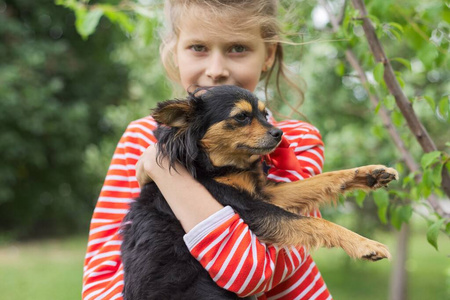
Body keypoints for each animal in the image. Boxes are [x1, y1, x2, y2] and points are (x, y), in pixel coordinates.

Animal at [119, 85, 398, 300]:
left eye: (265, 114)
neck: (217, 167)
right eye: (241, 117)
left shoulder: (264, 195)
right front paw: (365, 244)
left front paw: (369, 173)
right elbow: (315, 223)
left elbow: (321, 180)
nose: (279, 133)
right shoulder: (248, 208)